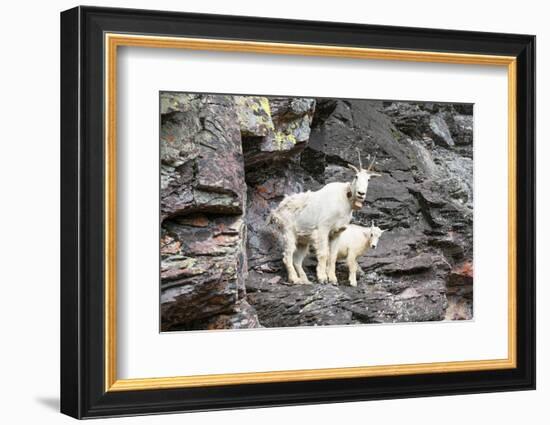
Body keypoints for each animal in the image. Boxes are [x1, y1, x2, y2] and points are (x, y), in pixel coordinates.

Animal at [270, 151, 382, 284]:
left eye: (369, 179)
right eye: (356, 176)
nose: (361, 194)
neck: (344, 200)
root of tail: (277, 210)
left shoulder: (337, 232)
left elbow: (332, 256)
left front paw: (333, 279)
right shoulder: (323, 228)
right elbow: (324, 253)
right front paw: (322, 278)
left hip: (303, 240)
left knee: (297, 260)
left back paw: (305, 280)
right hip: (288, 232)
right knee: (287, 257)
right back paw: (294, 279)